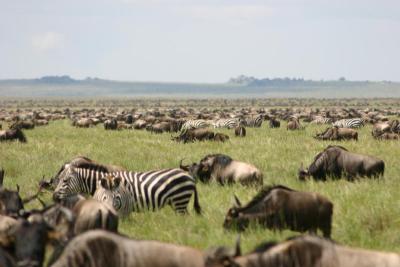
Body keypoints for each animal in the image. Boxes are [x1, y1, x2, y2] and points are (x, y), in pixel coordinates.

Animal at [53, 166, 202, 217]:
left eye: (65, 181)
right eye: (58, 179)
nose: (54, 197)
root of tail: (189, 175)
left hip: (179, 201)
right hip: (178, 203)